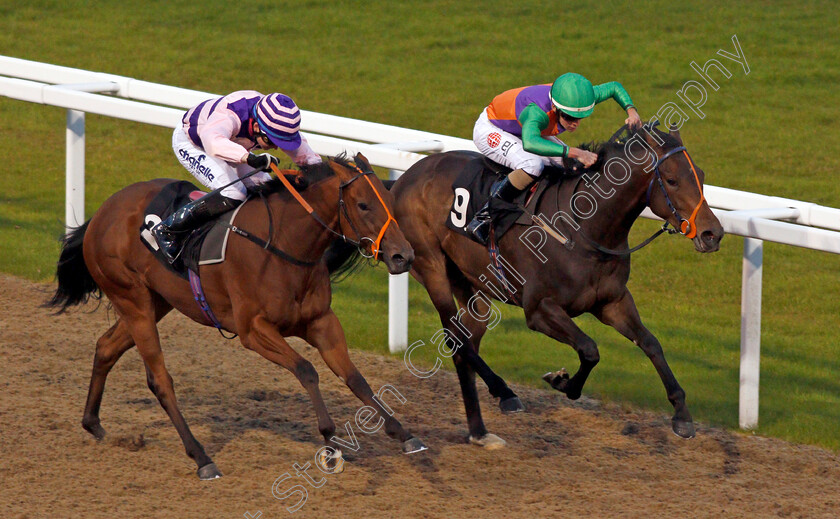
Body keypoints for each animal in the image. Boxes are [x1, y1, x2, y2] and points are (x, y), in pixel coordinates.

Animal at [46, 153, 426, 480]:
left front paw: (404, 433)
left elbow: (355, 377)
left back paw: (93, 423)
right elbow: (307, 369)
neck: (286, 244)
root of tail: (102, 213)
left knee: (106, 346)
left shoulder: (321, 321)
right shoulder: (253, 330)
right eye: (363, 205)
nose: (403, 256)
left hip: (156, 302)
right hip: (134, 301)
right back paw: (202, 458)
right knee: (160, 380)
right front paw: (330, 440)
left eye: (389, 202)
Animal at [388, 124, 720, 448]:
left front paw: (682, 415)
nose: (712, 233)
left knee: (464, 347)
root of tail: (405, 178)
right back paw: (505, 394)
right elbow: (590, 349)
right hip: (432, 267)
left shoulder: (613, 302)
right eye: (672, 180)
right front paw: (562, 382)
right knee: (456, 338)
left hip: (473, 287)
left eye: (701, 175)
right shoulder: (539, 309)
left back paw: (479, 431)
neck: (583, 228)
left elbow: (651, 343)